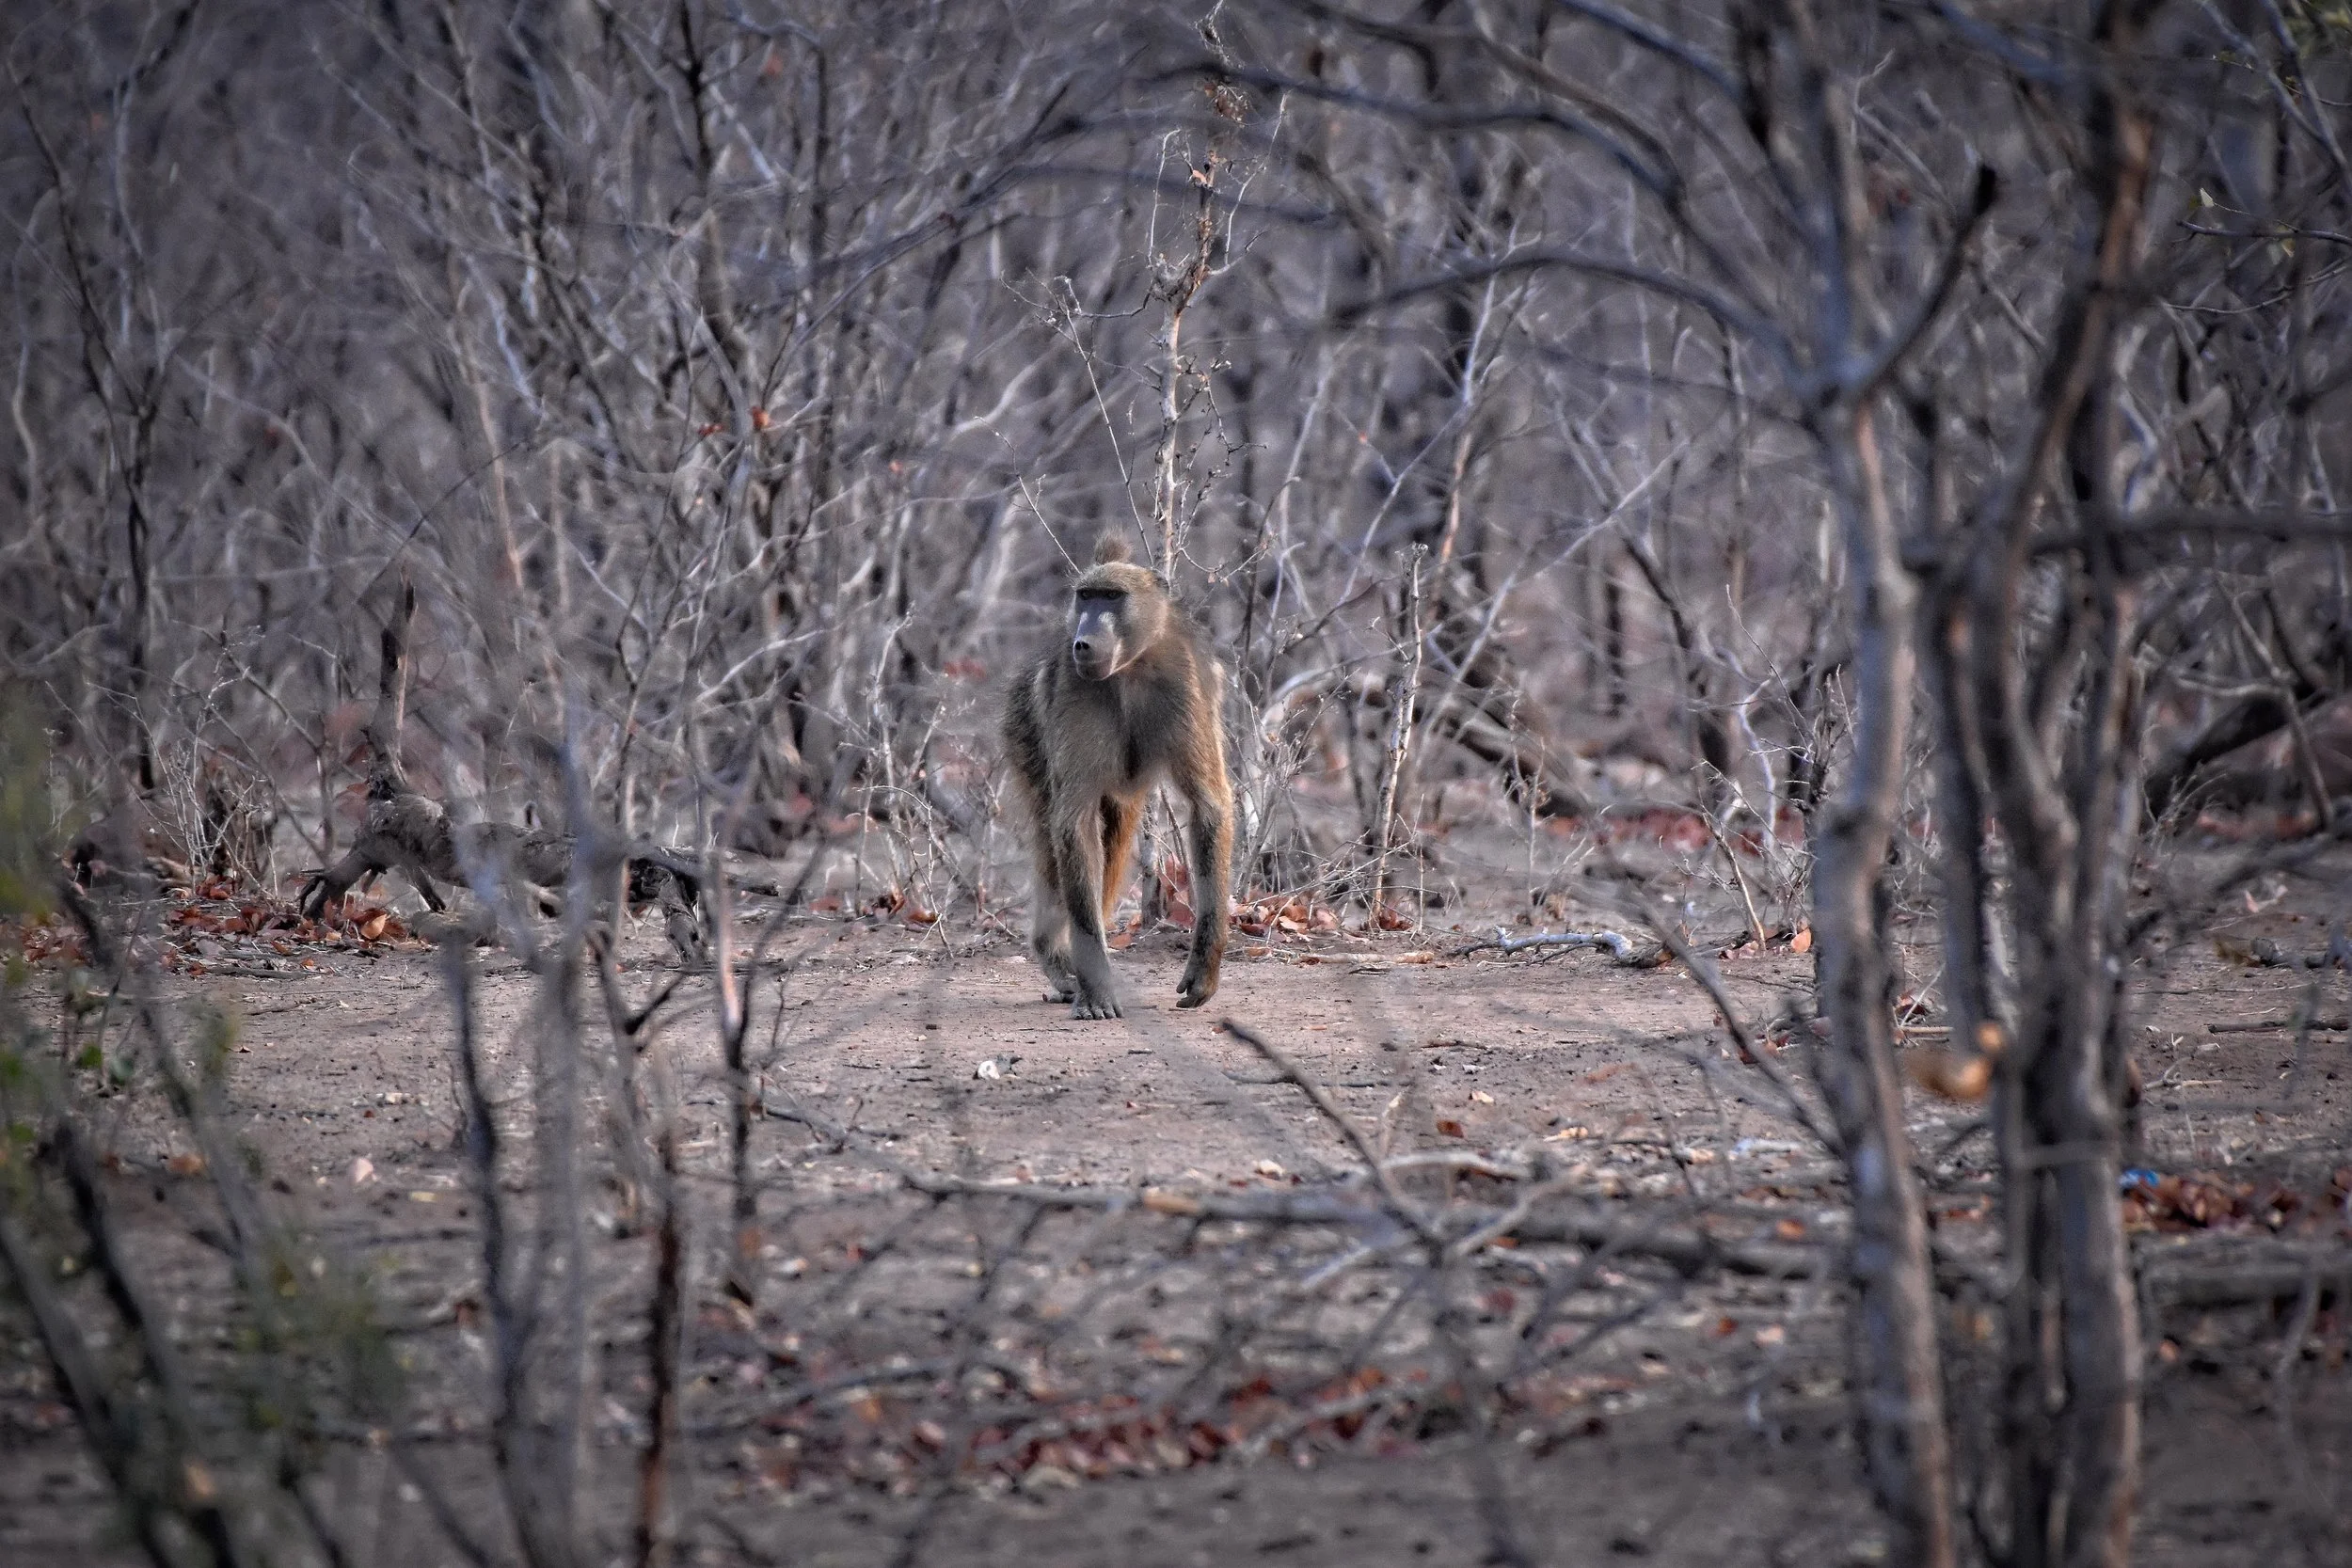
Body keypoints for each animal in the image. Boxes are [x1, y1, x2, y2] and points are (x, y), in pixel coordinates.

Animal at [1002, 533, 1232, 1020]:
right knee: (1061, 835)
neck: (1130, 670)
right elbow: (1073, 822)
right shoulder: (1072, 692)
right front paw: (1096, 991)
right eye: (1085, 597)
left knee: (1115, 833)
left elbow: (1208, 805)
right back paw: (1059, 960)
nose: (1083, 643)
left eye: (1112, 597)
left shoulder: (1186, 687)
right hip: (1023, 731)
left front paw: (1204, 968)